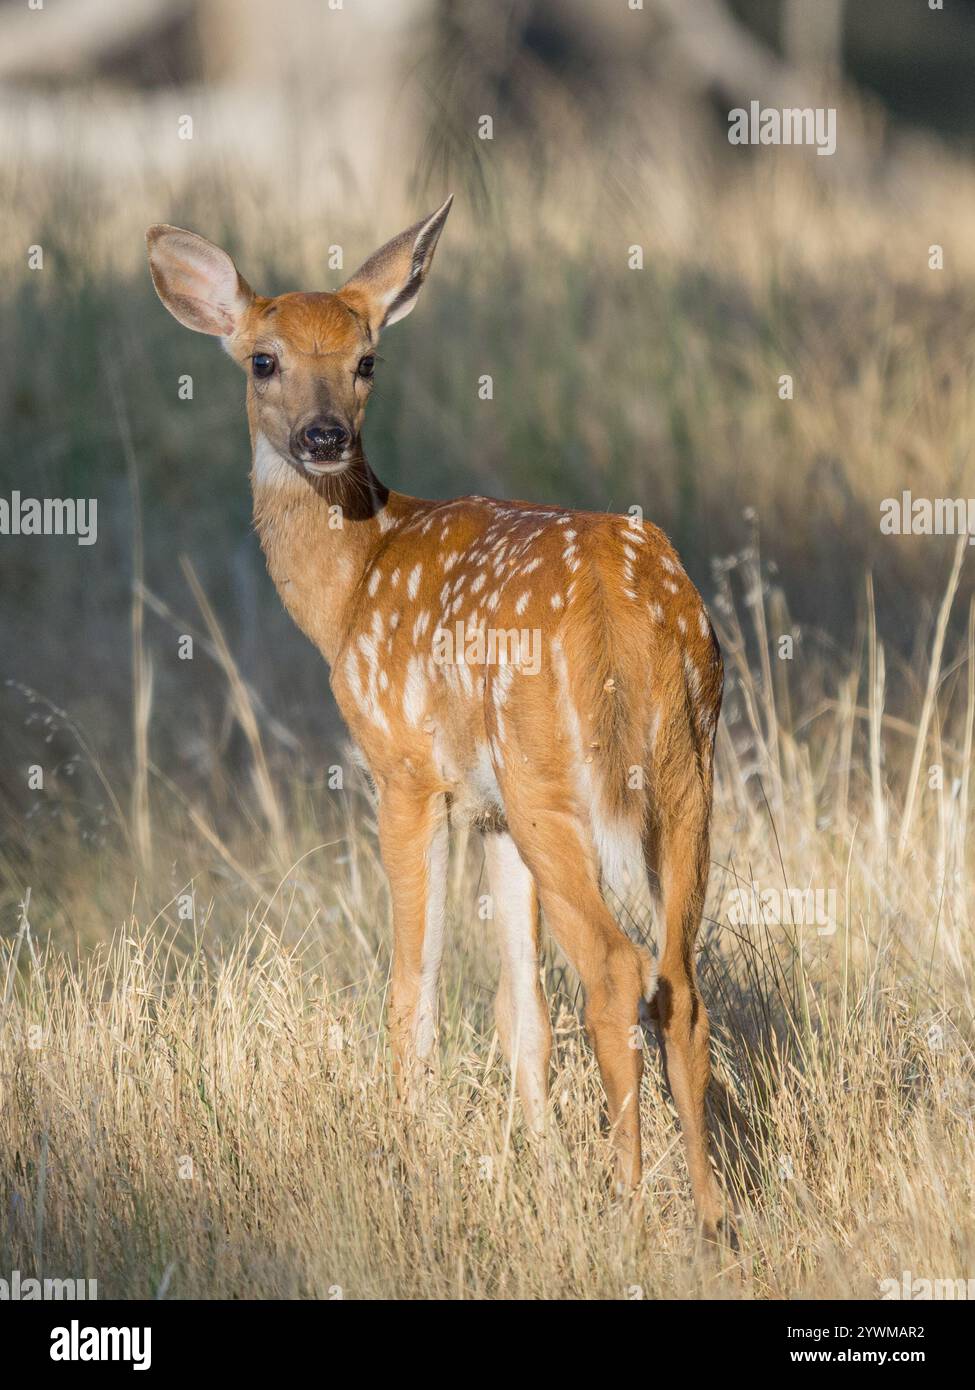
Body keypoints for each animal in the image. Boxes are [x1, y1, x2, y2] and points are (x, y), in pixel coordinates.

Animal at [146, 198, 725, 1239]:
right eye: (264, 359)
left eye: (367, 358)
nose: (324, 436)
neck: (350, 589)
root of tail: (621, 610)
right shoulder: (488, 811)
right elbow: (516, 1009)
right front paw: (543, 1176)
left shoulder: (405, 769)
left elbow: (410, 992)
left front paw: (408, 1156)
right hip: (683, 771)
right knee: (678, 984)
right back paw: (709, 1220)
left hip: (551, 778)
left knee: (615, 972)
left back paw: (629, 1210)